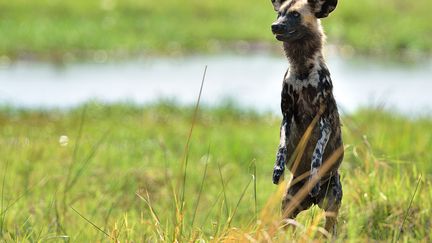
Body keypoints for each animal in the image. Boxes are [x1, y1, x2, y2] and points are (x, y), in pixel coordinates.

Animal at [270, 0, 344, 235]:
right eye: (280, 13)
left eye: (295, 15)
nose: (275, 26)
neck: (302, 70)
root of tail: (313, 200)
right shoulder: (286, 117)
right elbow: (282, 146)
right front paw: (278, 169)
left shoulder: (324, 121)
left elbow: (317, 153)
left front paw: (314, 174)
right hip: (288, 207)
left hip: (331, 207)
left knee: (330, 229)